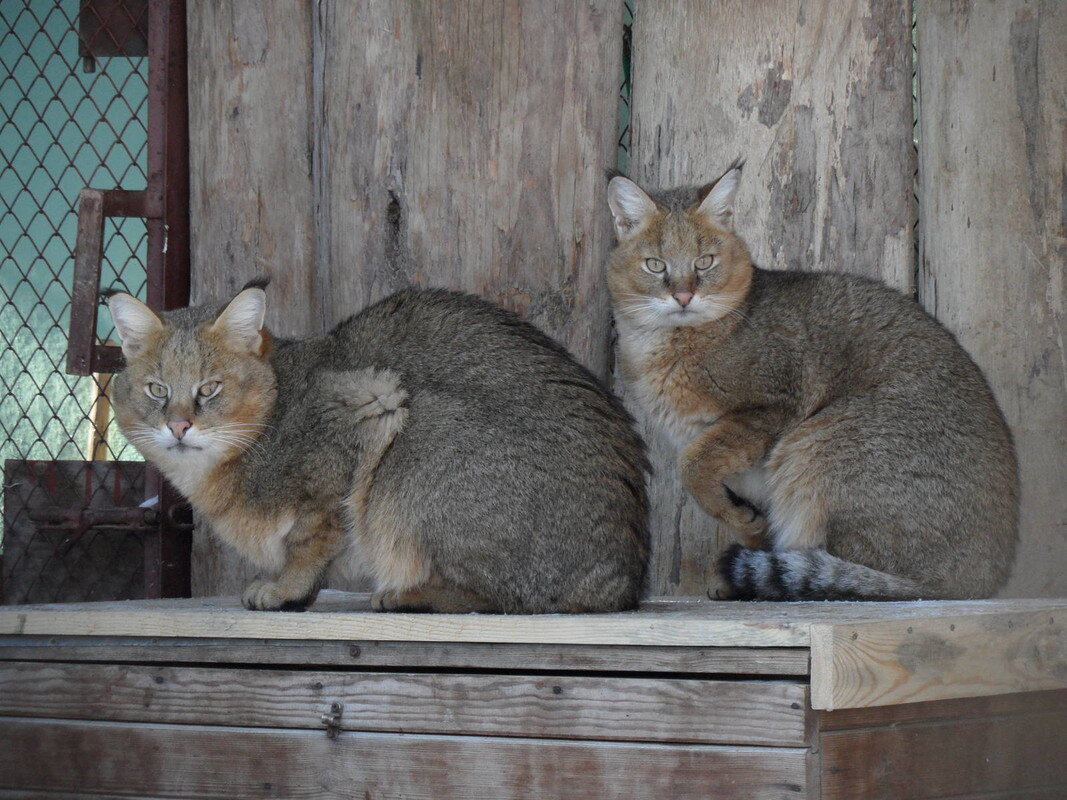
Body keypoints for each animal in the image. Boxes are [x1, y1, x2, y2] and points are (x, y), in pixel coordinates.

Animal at [106, 281, 648, 614]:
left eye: (209, 388)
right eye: (156, 389)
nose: (178, 425)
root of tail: (621, 581)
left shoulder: (371, 406)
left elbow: (309, 540)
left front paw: (286, 590)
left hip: (424, 440)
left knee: (503, 596)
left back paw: (408, 594)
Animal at [610, 164, 1015, 601]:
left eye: (704, 262)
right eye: (655, 265)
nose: (683, 296)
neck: (664, 345)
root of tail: (976, 582)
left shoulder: (774, 407)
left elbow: (693, 466)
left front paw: (741, 523)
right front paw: (748, 534)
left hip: (820, 443)